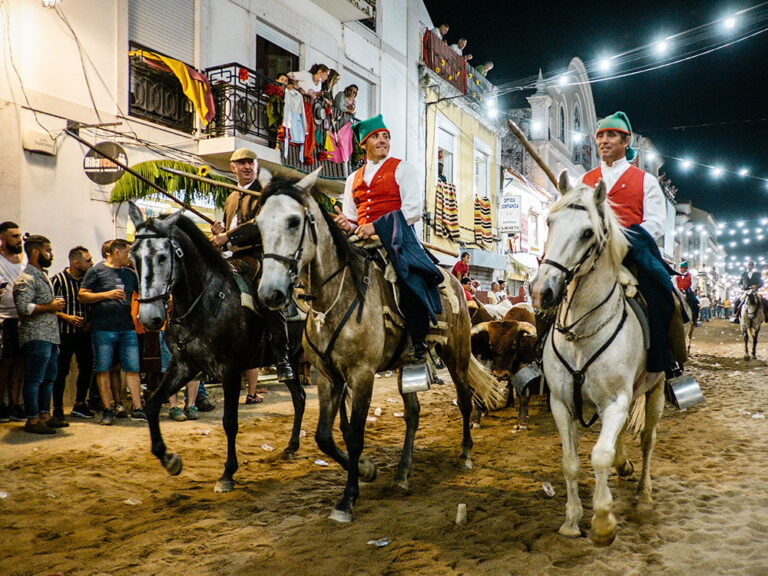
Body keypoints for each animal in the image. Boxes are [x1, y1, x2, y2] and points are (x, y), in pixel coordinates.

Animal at [127, 205, 306, 492]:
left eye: (163, 256)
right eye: (134, 257)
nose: (148, 318)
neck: (205, 300)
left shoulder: (230, 371)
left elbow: (229, 422)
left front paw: (227, 474)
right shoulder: (183, 366)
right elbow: (153, 403)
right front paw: (169, 459)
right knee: (299, 398)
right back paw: (291, 448)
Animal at [532, 171, 668, 544]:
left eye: (587, 233)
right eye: (549, 222)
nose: (542, 292)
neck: (581, 334)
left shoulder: (616, 401)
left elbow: (600, 455)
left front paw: (603, 521)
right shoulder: (561, 403)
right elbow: (571, 462)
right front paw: (571, 520)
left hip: (656, 391)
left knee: (648, 440)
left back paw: (644, 496)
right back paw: (625, 467)